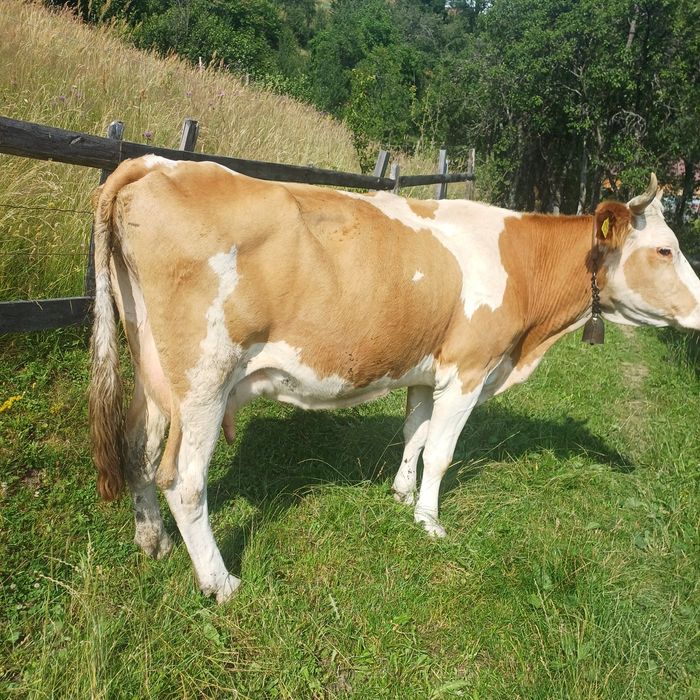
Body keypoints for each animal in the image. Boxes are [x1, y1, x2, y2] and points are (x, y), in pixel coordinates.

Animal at [89, 156, 700, 602]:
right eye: (665, 249)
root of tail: (157, 164)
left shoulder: (426, 370)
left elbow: (416, 434)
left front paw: (402, 492)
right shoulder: (468, 369)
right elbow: (443, 452)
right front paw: (429, 521)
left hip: (153, 373)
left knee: (137, 449)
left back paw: (153, 542)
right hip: (204, 379)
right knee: (184, 480)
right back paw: (220, 583)